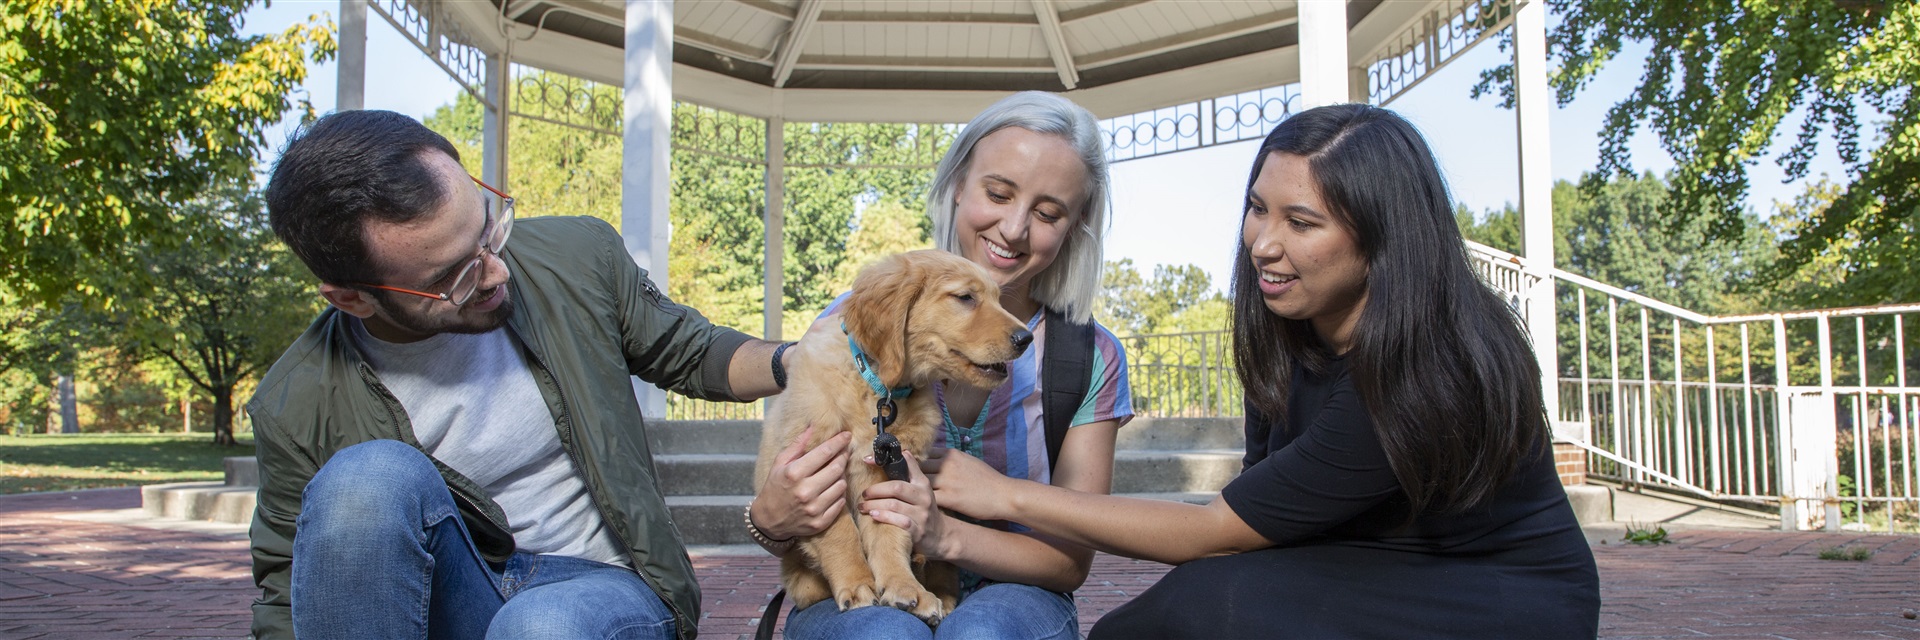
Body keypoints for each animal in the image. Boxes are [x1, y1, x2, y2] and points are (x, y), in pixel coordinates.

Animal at [756, 249, 1044, 622]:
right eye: (965, 297)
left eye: (998, 298)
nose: (1026, 339)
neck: (880, 389)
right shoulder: (814, 475)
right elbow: (840, 533)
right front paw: (856, 583)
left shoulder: (891, 476)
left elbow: (889, 535)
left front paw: (905, 588)